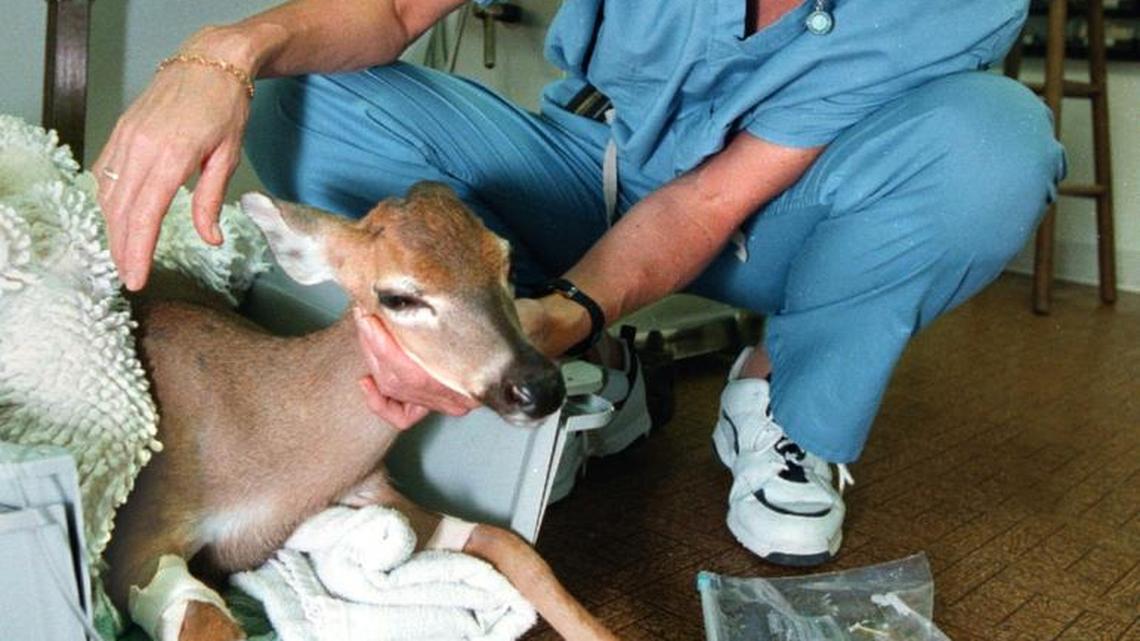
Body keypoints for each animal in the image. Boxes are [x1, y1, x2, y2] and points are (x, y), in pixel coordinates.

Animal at [103, 181, 618, 641]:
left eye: (507, 263)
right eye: (398, 297)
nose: (538, 387)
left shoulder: (376, 499)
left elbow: (517, 548)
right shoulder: (141, 529)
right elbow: (206, 620)